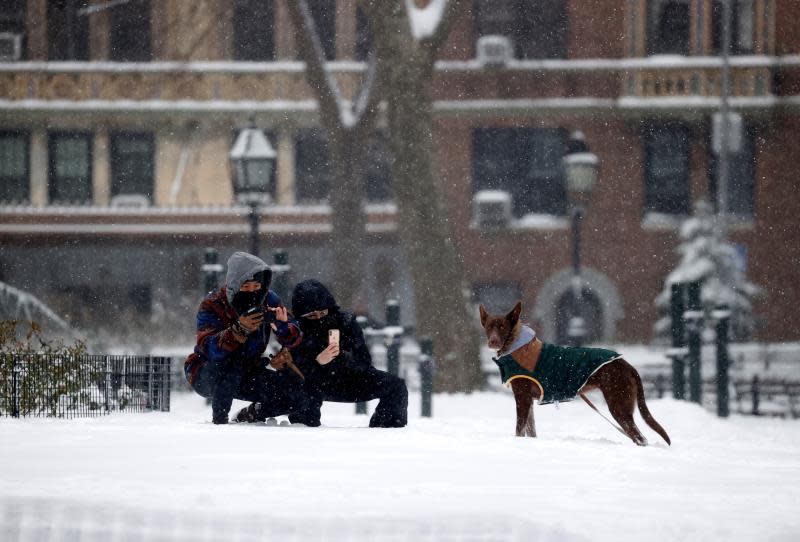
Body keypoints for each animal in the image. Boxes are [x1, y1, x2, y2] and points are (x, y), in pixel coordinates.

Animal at [482, 302, 668, 446]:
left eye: (502, 327)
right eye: (489, 326)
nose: (493, 341)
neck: (515, 345)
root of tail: (626, 364)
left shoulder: (522, 397)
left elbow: (519, 429)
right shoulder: (528, 400)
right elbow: (530, 429)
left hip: (618, 405)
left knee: (640, 438)